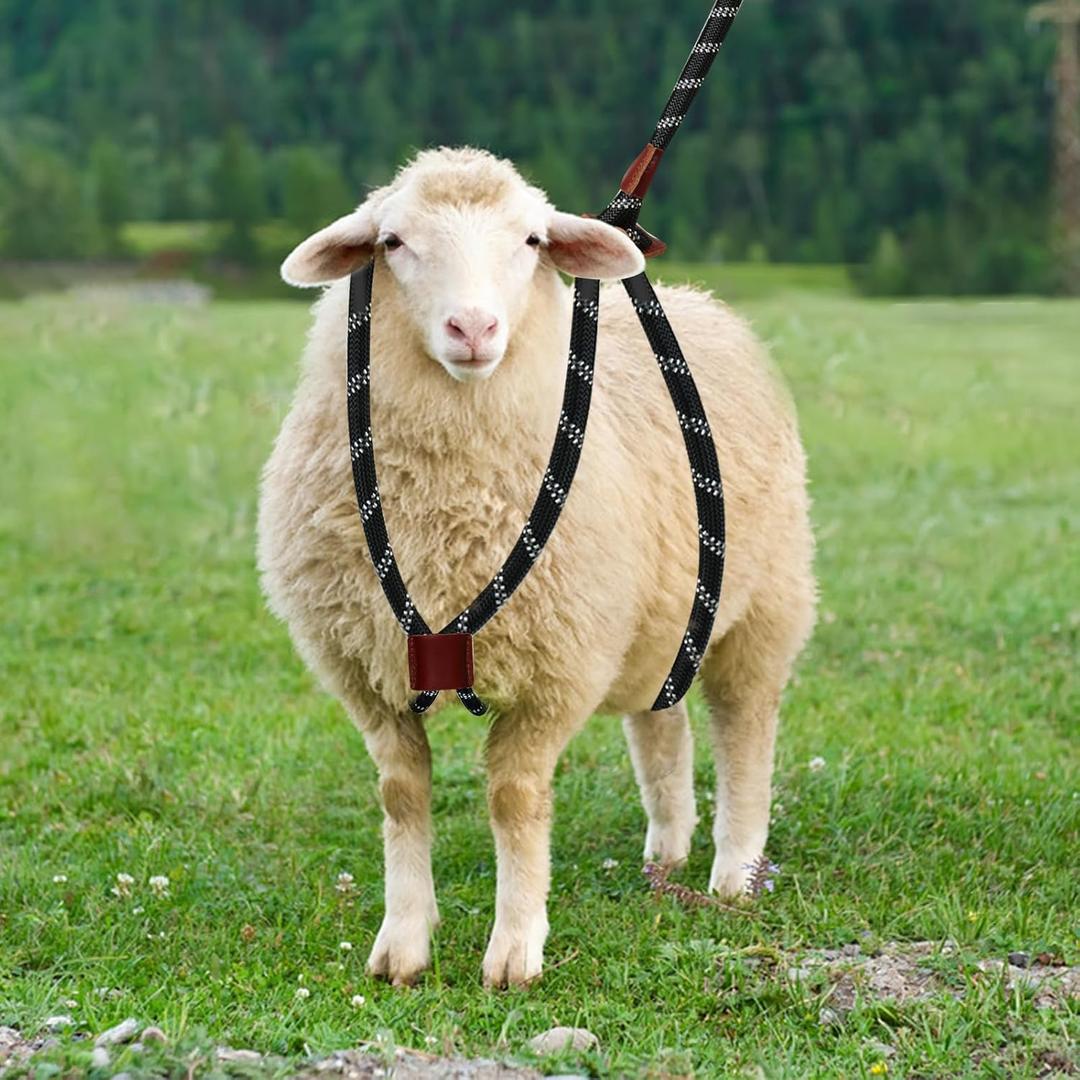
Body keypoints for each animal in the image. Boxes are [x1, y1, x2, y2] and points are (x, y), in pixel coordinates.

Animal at [257, 146, 816, 989]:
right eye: (393, 242)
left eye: (529, 241)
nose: (474, 327)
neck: (447, 520)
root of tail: (702, 301)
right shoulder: (367, 672)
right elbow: (401, 794)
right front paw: (403, 945)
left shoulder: (557, 664)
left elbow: (516, 801)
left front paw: (515, 951)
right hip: (654, 611)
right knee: (662, 722)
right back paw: (666, 853)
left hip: (763, 605)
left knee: (743, 728)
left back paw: (734, 872)